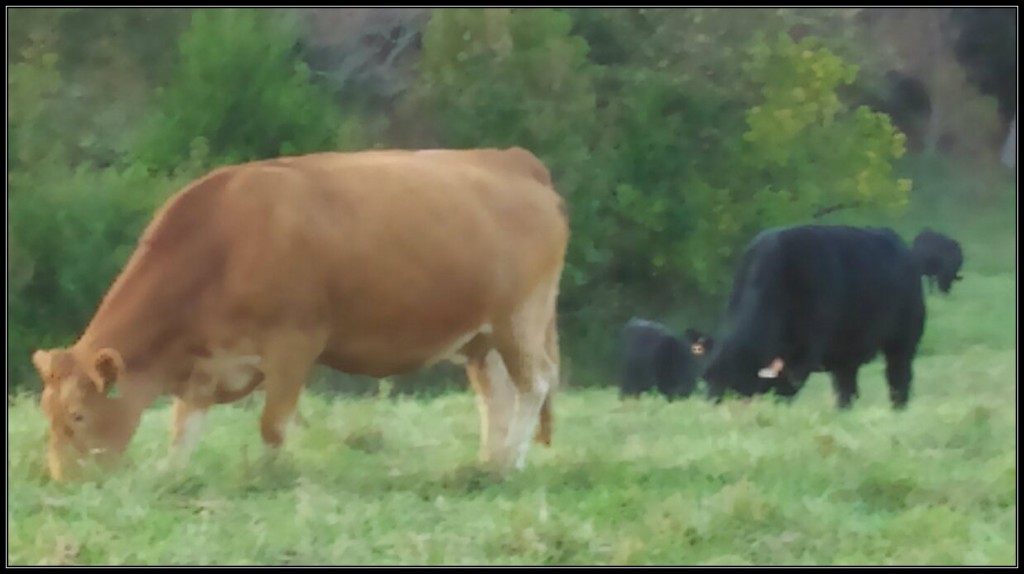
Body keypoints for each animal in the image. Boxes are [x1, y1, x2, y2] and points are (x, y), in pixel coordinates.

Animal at [29, 146, 569, 478]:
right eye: (46, 414)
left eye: (78, 415)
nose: (63, 481)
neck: (222, 243)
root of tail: (510, 159)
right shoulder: (207, 362)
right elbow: (184, 425)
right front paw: (173, 477)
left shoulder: (294, 344)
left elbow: (273, 424)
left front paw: (269, 477)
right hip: (481, 336)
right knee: (496, 395)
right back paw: (489, 463)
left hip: (519, 319)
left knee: (535, 384)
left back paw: (511, 462)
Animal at [704, 223, 929, 407]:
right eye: (709, 384)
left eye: (737, 388)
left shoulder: (800, 359)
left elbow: (784, 394)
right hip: (847, 350)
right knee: (846, 387)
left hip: (903, 341)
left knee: (898, 377)